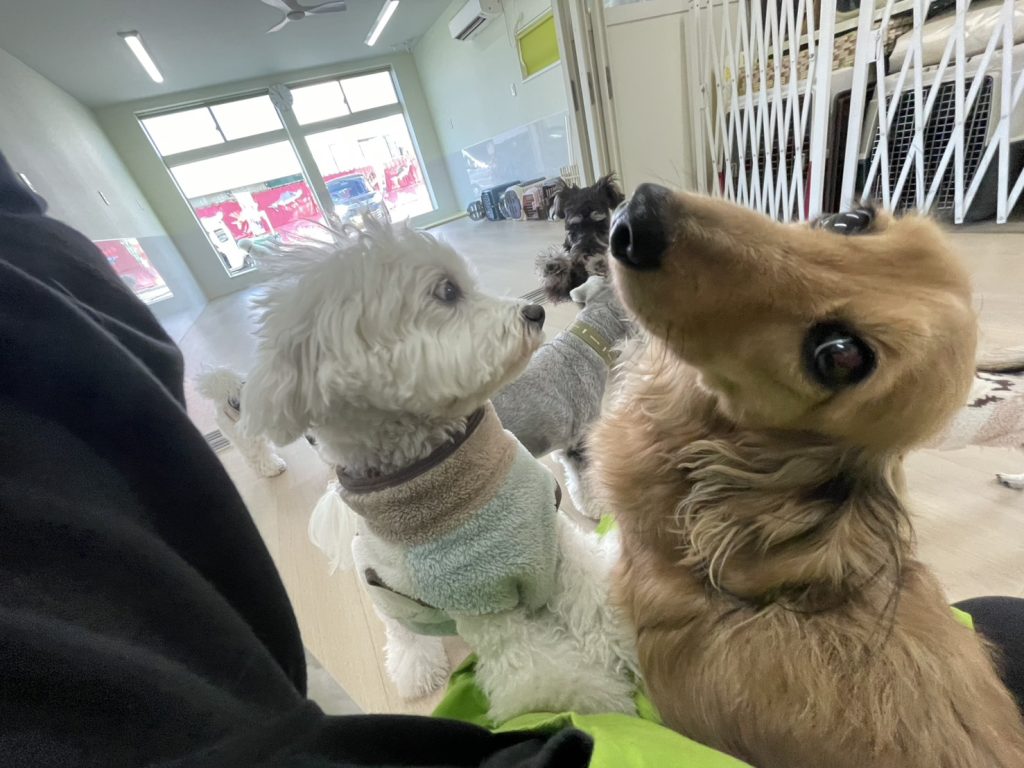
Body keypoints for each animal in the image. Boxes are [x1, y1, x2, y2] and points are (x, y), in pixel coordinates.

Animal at [237, 222, 637, 722]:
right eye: (446, 291)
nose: (535, 310)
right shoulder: (576, 442)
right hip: (393, 602)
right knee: (404, 637)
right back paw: (416, 673)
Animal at [538, 174, 625, 303]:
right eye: (574, 228)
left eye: (601, 225)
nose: (588, 254)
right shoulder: (566, 286)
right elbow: (559, 282)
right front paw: (554, 265)